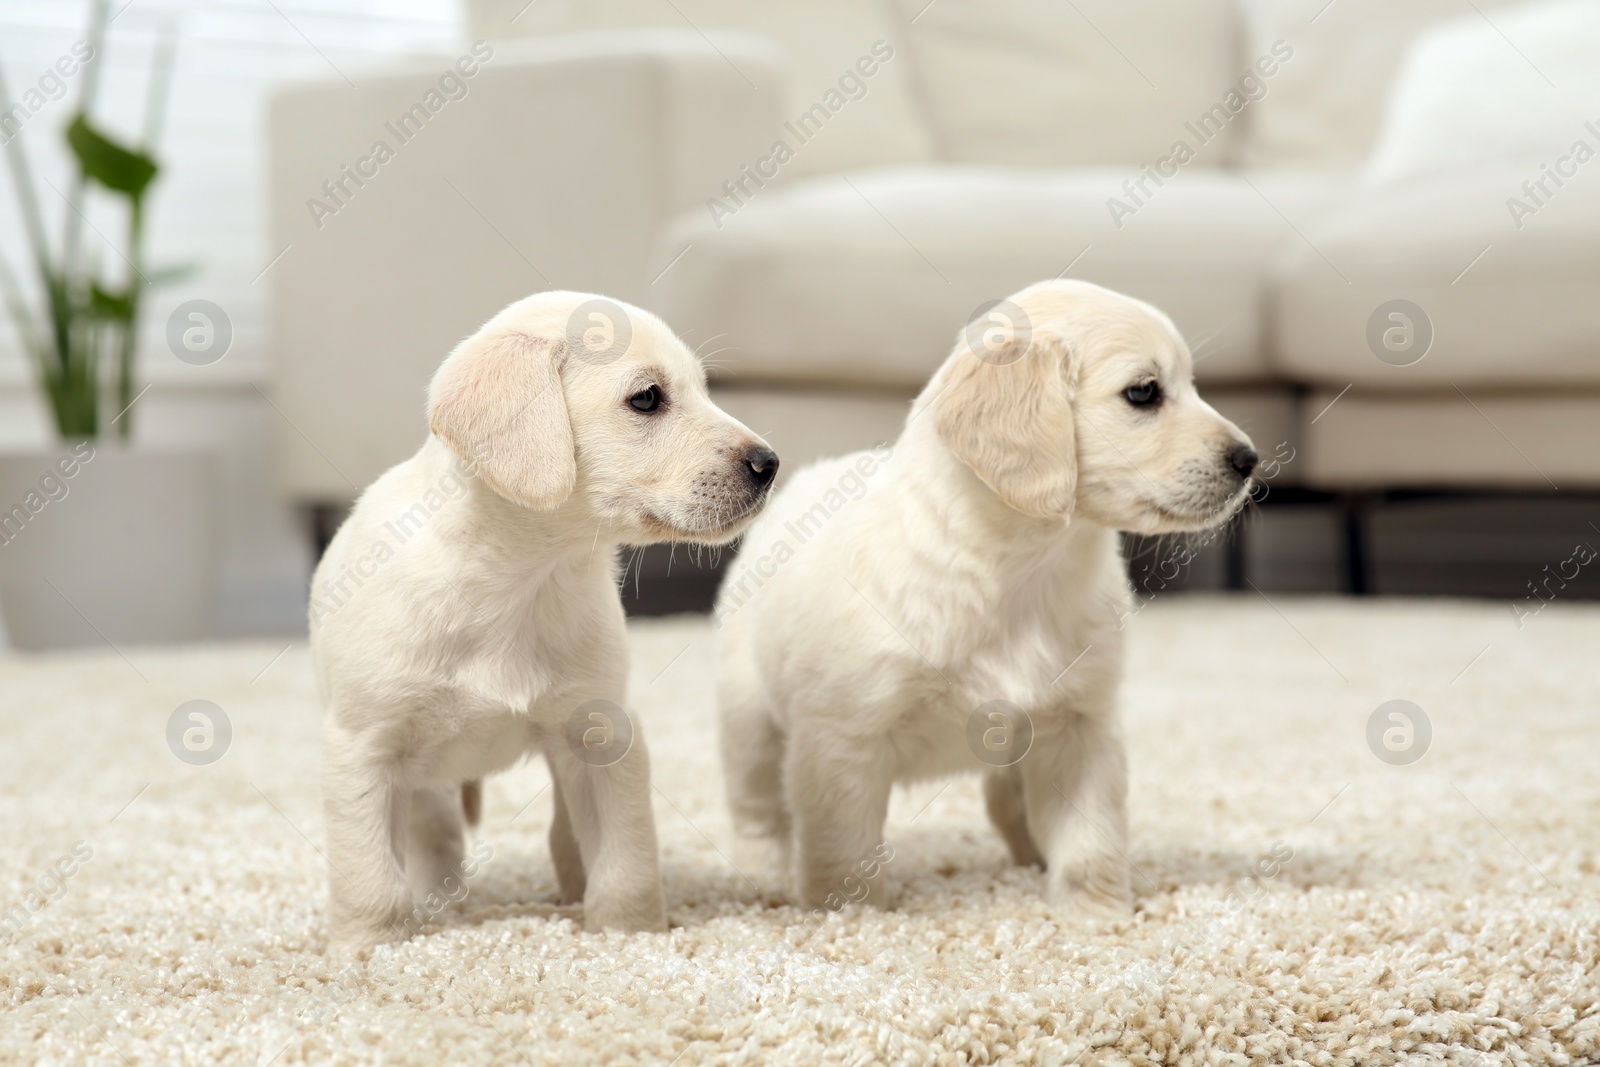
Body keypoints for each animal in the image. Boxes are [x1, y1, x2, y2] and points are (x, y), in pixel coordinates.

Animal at [310, 289, 774, 953]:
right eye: (647, 398)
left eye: (706, 389)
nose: (770, 463)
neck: (519, 579)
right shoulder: (362, 747)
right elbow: (369, 876)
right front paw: (368, 949)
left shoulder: (606, 737)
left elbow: (627, 858)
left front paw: (629, 933)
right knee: (433, 832)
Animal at [720, 279, 1254, 915]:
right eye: (1144, 392)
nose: (1250, 460)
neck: (1021, 569)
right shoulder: (842, 741)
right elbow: (843, 852)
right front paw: (850, 917)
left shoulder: (1082, 725)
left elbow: (1091, 839)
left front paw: (1096, 915)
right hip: (750, 723)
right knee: (756, 814)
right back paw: (762, 880)